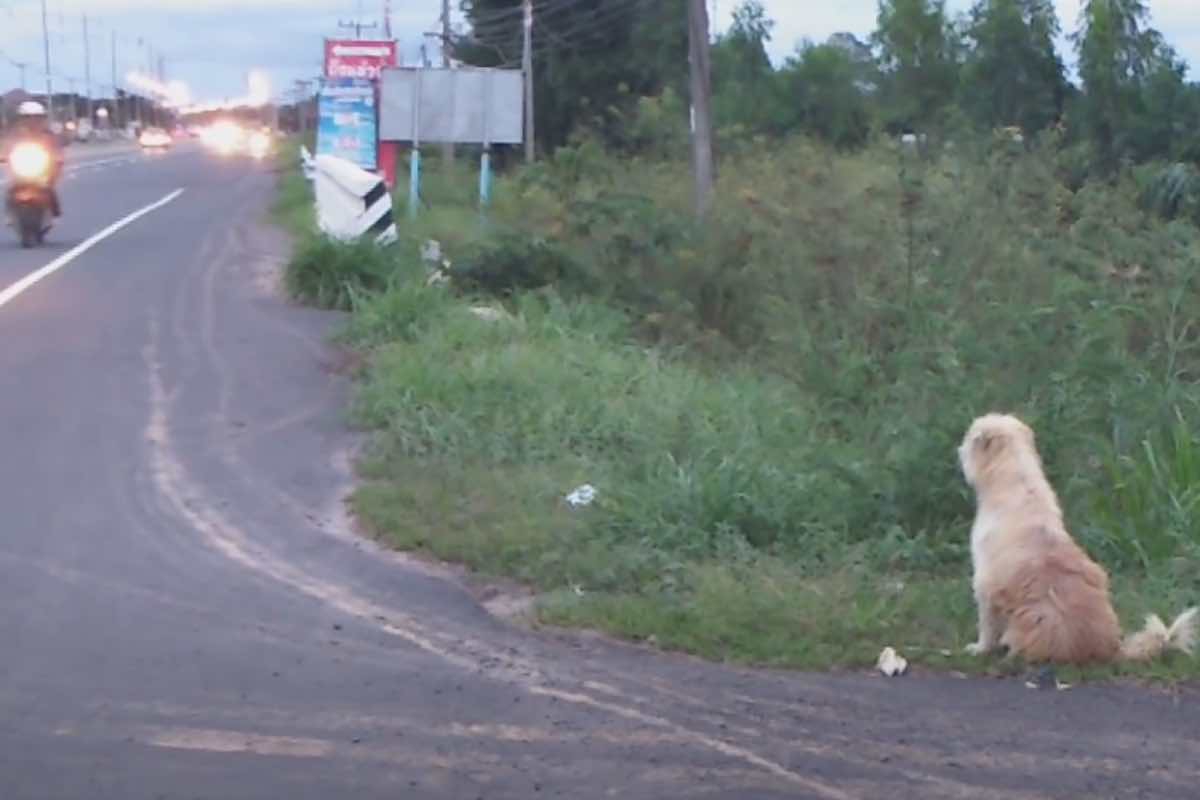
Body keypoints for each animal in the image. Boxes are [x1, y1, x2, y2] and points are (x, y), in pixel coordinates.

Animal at [955, 412, 1190, 662]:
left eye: (968, 437)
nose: (958, 449)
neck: (1016, 480)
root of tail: (1112, 649)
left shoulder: (984, 582)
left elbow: (987, 624)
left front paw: (979, 648)